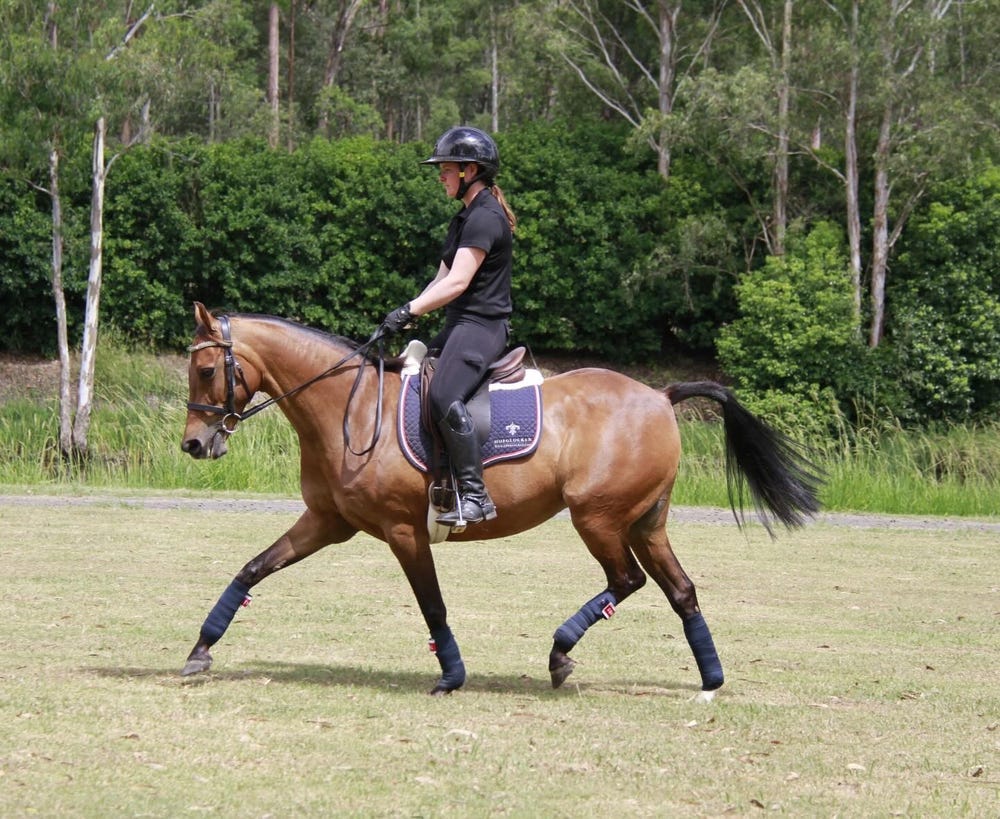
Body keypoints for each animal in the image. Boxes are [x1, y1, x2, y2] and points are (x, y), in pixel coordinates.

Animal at [180, 302, 822, 700]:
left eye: (207, 369)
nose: (193, 444)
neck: (350, 407)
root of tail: (661, 395)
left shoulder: (403, 532)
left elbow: (432, 605)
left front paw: (451, 676)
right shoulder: (327, 522)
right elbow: (253, 570)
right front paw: (200, 650)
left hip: (598, 518)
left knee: (628, 580)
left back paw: (561, 653)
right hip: (646, 521)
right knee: (679, 590)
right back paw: (710, 679)